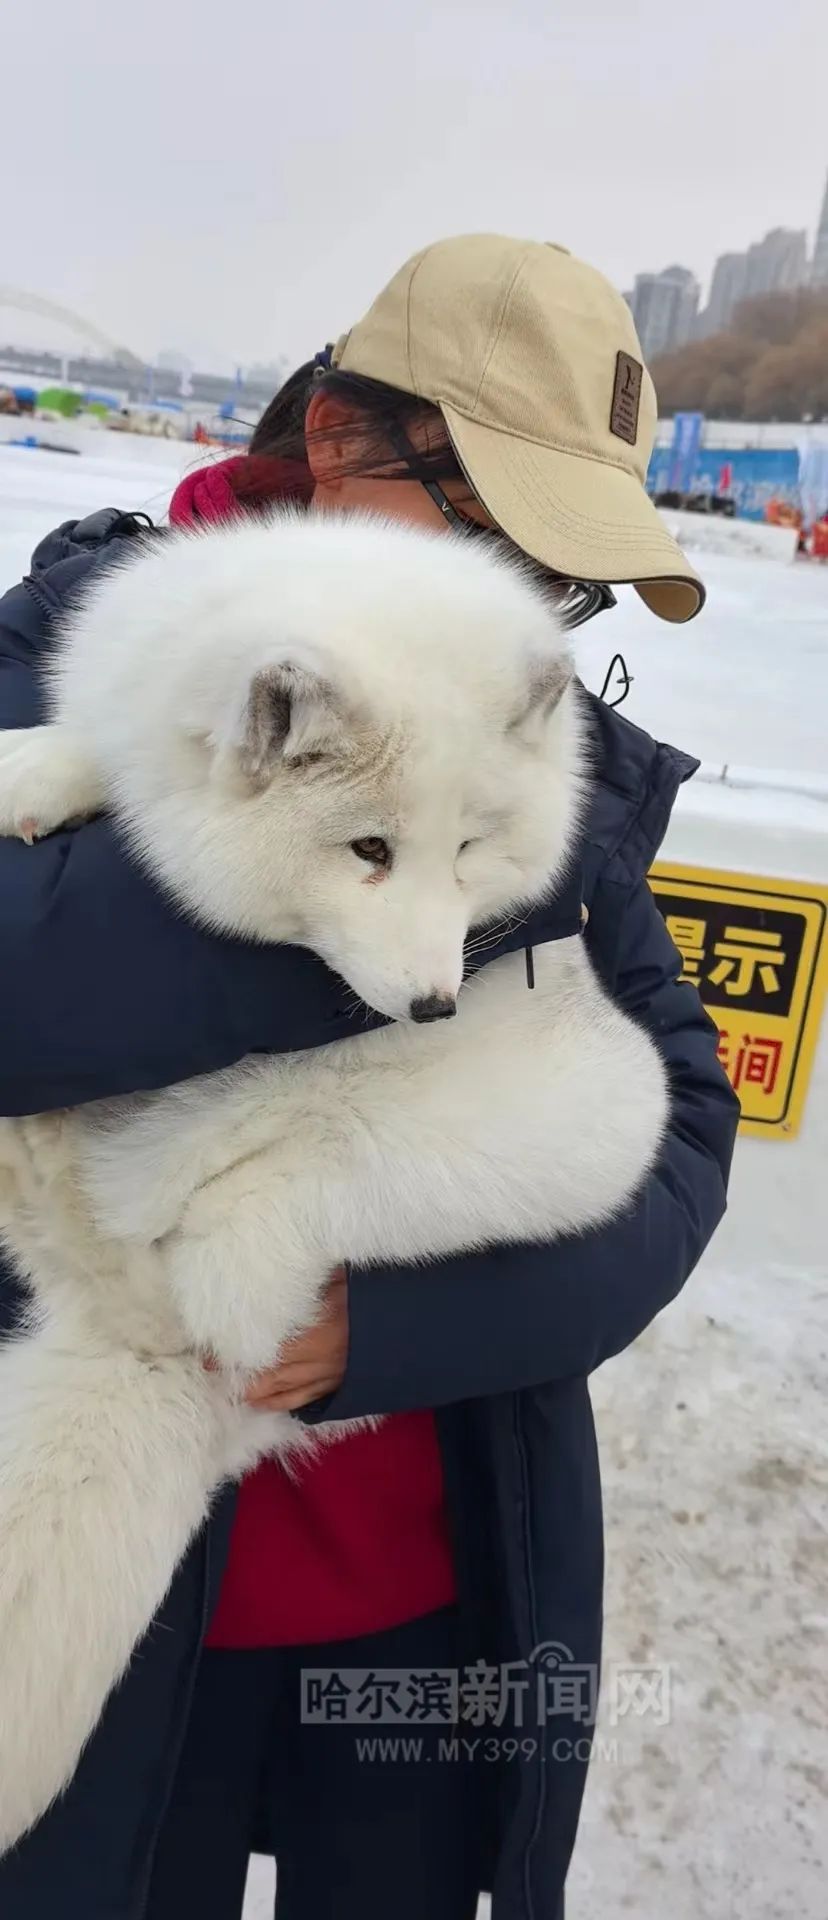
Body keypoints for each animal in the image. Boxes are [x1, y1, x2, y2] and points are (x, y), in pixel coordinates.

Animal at [0, 510, 668, 1843]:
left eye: (469, 849)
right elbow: (106, 759)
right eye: (369, 849)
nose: (435, 1003)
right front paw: (31, 772)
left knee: (207, 1224)